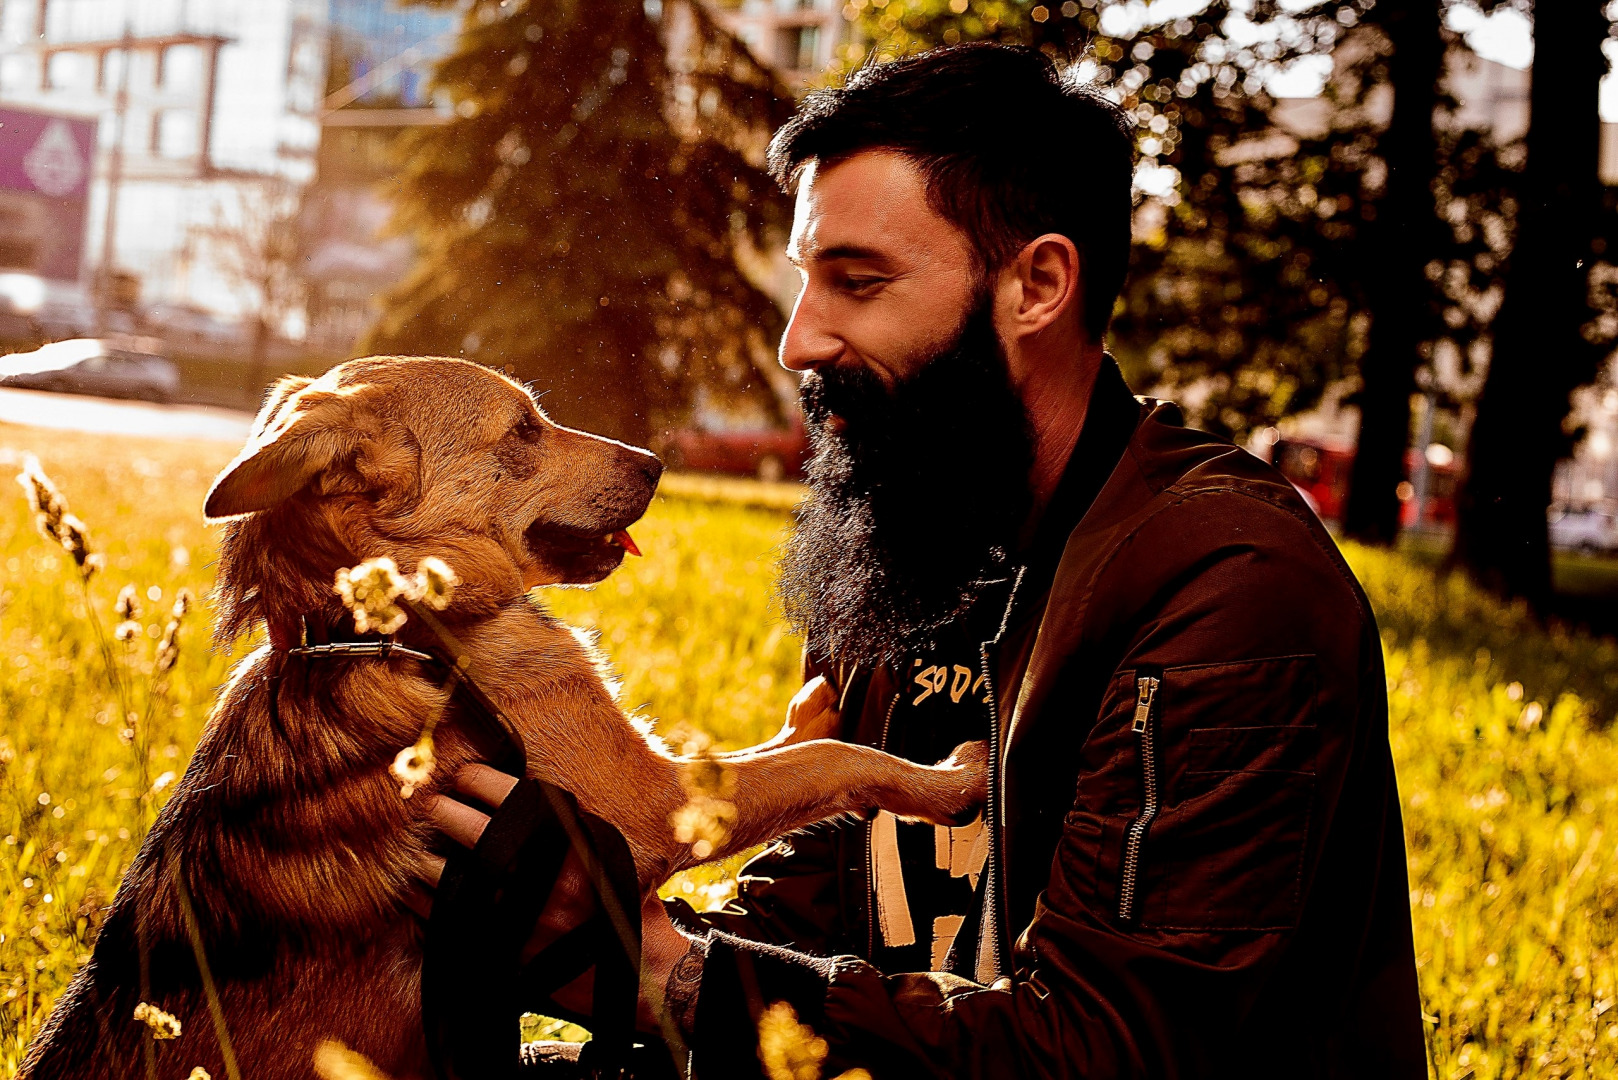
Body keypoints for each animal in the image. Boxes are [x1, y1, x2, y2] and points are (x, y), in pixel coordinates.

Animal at [19, 356, 983, 1080]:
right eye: (522, 430)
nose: (660, 462)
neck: (402, 628)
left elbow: (798, 743)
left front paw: (822, 695)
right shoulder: (656, 804)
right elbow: (832, 762)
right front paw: (948, 781)